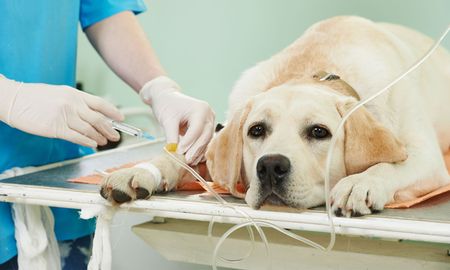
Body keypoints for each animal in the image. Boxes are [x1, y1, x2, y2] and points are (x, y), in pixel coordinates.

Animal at [100, 15, 450, 217]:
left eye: (319, 132)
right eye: (256, 130)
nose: (270, 166)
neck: (316, 69)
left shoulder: (429, 160)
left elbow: (388, 165)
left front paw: (360, 183)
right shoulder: (213, 142)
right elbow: (180, 156)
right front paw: (141, 170)